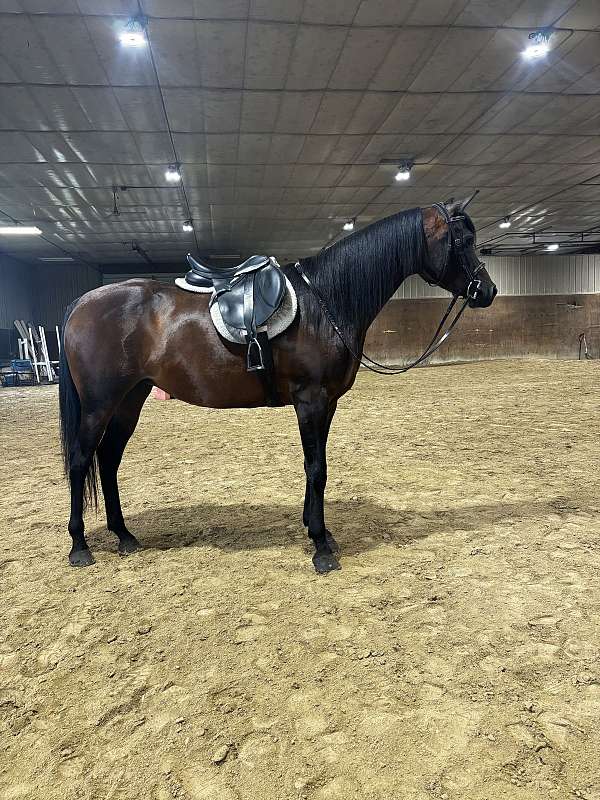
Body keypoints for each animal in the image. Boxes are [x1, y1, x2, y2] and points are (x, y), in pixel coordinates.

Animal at [59, 198, 497, 574]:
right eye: (463, 241)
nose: (487, 291)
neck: (326, 302)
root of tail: (82, 302)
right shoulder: (311, 400)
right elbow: (316, 467)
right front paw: (321, 547)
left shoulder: (327, 404)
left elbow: (317, 466)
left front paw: (321, 532)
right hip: (100, 403)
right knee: (81, 460)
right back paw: (79, 546)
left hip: (130, 399)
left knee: (108, 460)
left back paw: (125, 536)